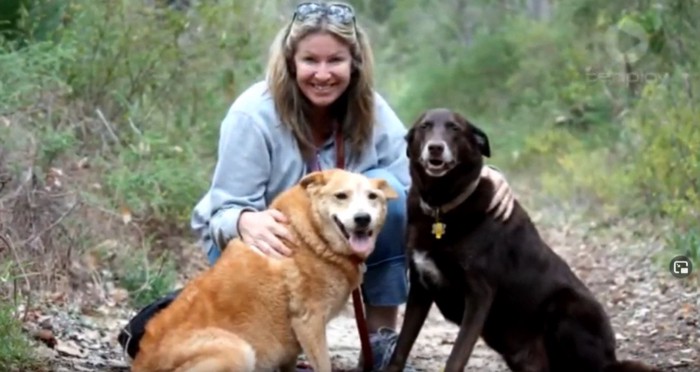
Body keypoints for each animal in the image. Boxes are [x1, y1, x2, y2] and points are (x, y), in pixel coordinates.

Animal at [129, 169, 396, 372]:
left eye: (372, 196)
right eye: (341, 196)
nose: (363, 218)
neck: (311, 235)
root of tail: (141, 364)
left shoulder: (292, 343)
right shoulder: (309, 322)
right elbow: (323, 365)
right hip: (237, 350)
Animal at [382, 107, 660, 372]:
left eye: (454, 128)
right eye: (425, 126)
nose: (435, 147)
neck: (442, 208)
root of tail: (611, 357)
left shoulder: (479, 293)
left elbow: (456, 358)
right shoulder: (420, 288)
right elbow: (401, 348)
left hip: (567, 306)